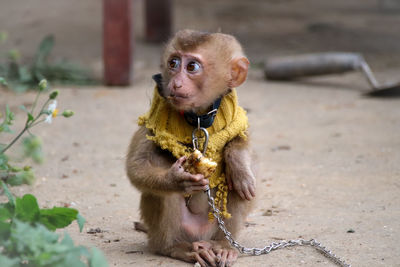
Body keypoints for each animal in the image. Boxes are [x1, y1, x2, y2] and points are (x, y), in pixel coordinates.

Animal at [126, 29, 256, 267]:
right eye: (173, 63)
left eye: (192, 67)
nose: (176, 83)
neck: (197, 118)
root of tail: (199, 237)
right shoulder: (153, 124)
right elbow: (136, 168)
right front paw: (177, 180)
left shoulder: (235, 118)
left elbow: (241, 140)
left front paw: (239, 169)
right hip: (177, 231)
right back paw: (174, 248)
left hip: (212, 228)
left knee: (235, 187)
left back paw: (224, 246)